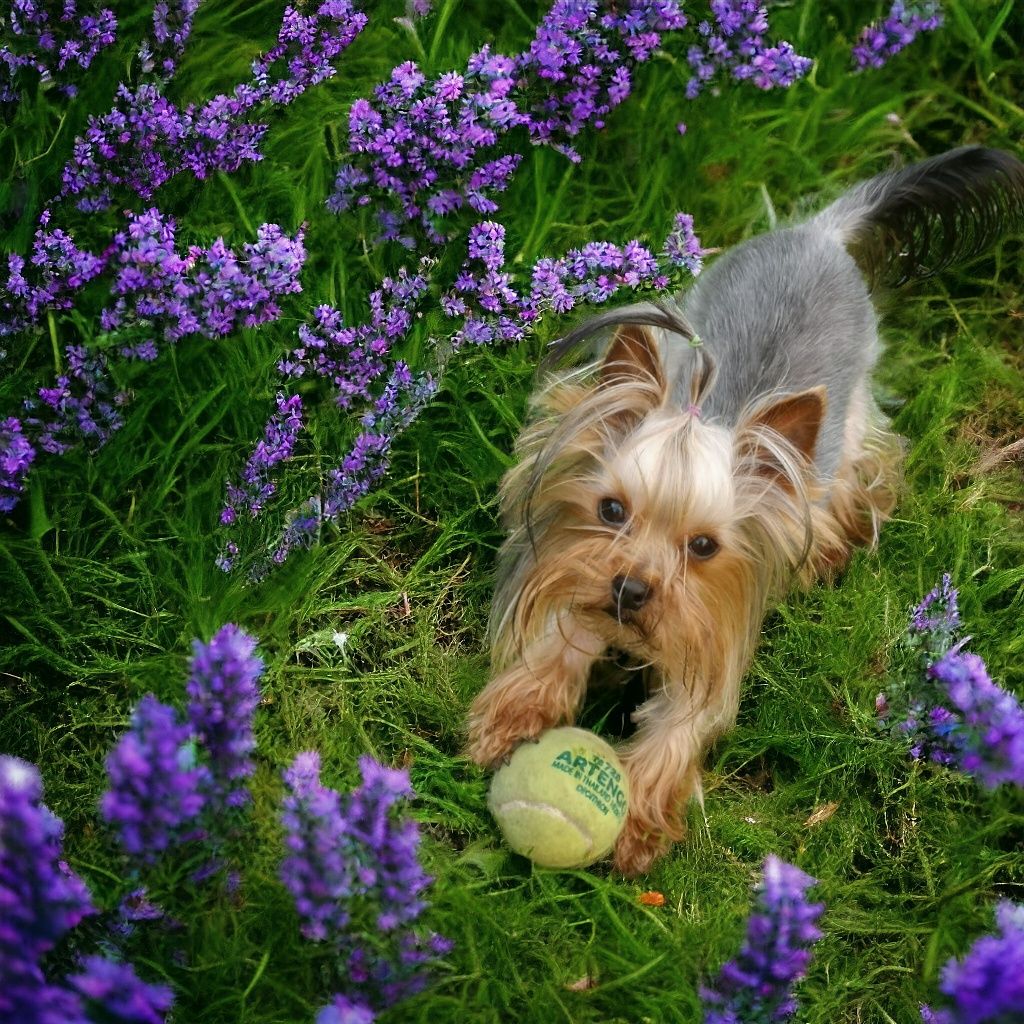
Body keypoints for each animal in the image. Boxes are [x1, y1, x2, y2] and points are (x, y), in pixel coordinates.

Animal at [466, 148, 1024, 876]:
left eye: (704, 547)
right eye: (611, 509)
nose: (630, 590)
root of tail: (818, 233)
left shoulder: (716, 637)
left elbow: (683, 723)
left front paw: (637, 825)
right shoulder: (567, 565)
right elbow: (563, 622)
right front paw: (514, 714)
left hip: (847, 428)